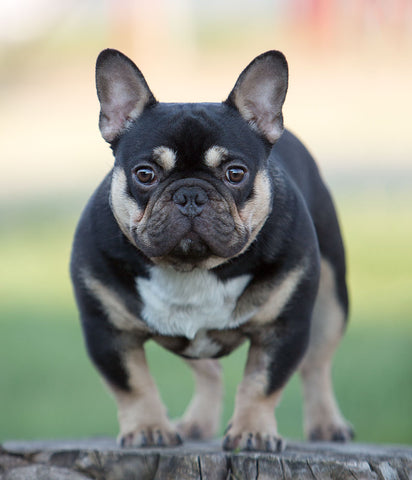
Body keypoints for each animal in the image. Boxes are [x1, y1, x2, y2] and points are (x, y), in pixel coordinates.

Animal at [69, 47, 352, 450]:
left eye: (235, 173)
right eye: (145, 174)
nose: (191, 194)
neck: (193, 268)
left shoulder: (283, 327)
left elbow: (261, 382)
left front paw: (252, 432)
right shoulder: (107, 329)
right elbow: (133, 384)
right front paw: (148, 429)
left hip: (331, 297)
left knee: (316, 364)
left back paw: (327, 424)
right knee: (209, 372)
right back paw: (195, 422)